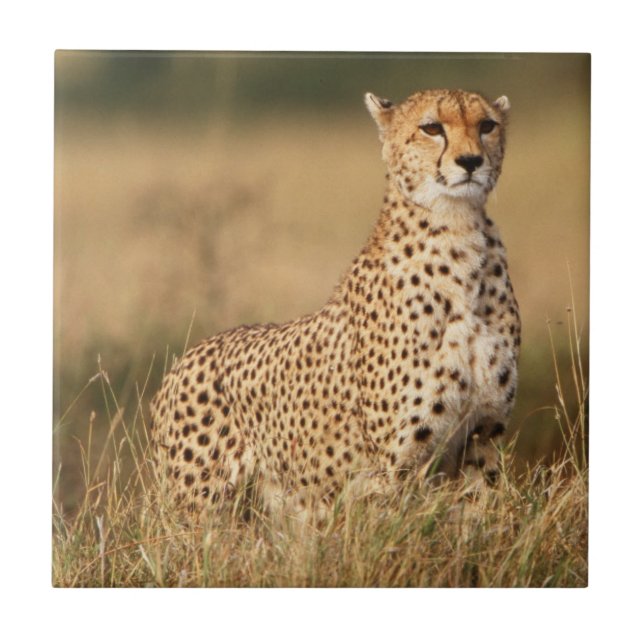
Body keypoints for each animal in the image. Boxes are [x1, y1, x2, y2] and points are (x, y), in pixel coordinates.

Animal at [149, 88, 521, 519]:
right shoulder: (396, 465)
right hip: (198, 505)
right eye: (431, 128)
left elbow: (481, 521)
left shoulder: (483, 438)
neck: (459, 232)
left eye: (487, 125)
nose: (471, 161)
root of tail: (184, 358)